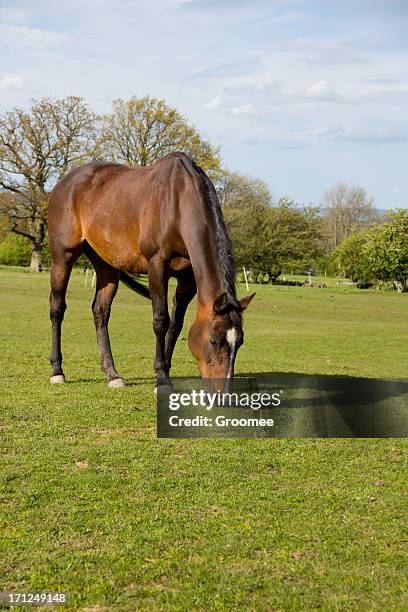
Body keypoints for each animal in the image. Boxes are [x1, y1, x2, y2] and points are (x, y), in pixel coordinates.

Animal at [47, 154, 255, 392]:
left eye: (239, 342)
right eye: (213, 340)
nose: (223, 393)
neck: (177, 204)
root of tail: (64, 183)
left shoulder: (188, 278)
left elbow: (176, 324)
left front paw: (164, 370)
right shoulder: (157, 266)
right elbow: (161, 320)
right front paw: (162, 378)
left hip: (106, 264)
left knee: (100, 312)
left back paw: (112, 374)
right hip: (63, 256)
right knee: (57, 308)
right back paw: (57, 371)